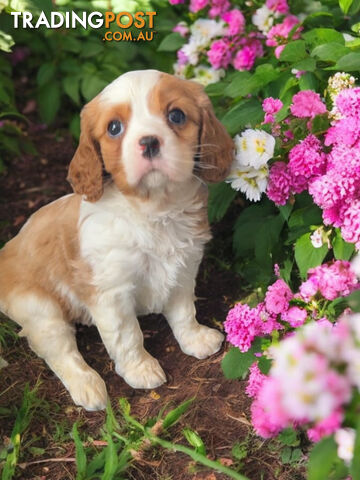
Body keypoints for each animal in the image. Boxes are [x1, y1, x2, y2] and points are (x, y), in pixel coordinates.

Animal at [0, 69, 233, 410]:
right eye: (114, 128)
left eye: (176, 115)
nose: (148, 142)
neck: (152, 210)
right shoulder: (111, 292)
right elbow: (128, 335)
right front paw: (141, 369)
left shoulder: (183, 269)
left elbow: (183, 311)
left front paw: (195, 338)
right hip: (38, 307)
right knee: (57, 349)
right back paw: (88, 386)